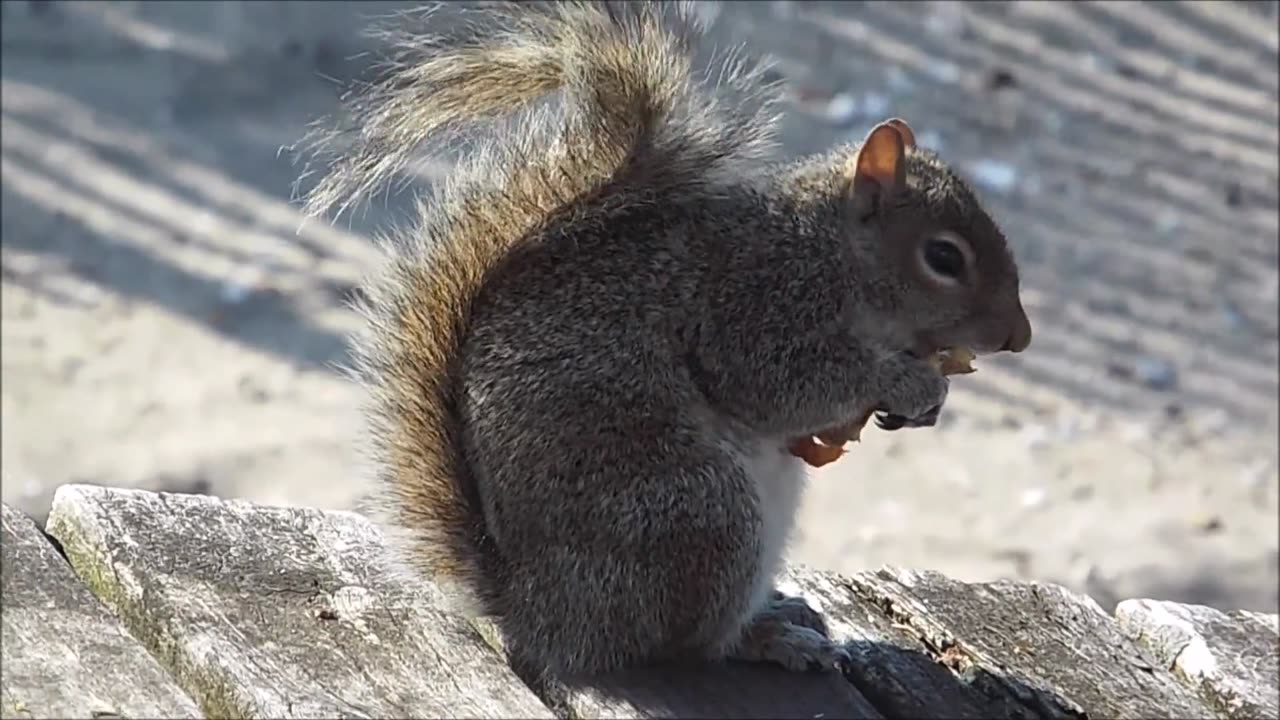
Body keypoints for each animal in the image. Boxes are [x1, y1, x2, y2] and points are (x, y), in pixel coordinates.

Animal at [296, 0, 1029, 681]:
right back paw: (770, 640)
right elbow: (778, 383)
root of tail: (536, 610)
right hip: (700, 512)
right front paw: (907, 381)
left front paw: (925, 402)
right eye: (944, 257)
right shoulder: (753, 301)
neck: (834, 252)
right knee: (687, 646)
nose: (1018, 338)